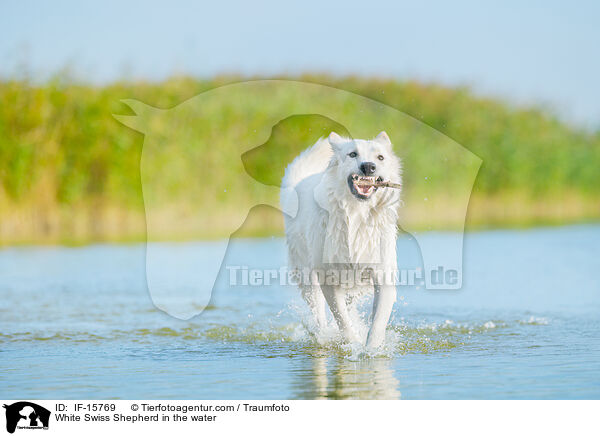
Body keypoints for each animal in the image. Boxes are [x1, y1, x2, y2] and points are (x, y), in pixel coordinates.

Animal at [282, 131, 404, 350]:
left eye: (380, 157)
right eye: (352, 154)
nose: (368, 166)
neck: (357, 216)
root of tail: (298, 184)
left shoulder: (383, 276)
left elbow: (378, 322)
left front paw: (371, 350)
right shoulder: (328, 279)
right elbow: (342, 321)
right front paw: (353, 344)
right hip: (308, 277)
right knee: (320, 314)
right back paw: (323, 335)